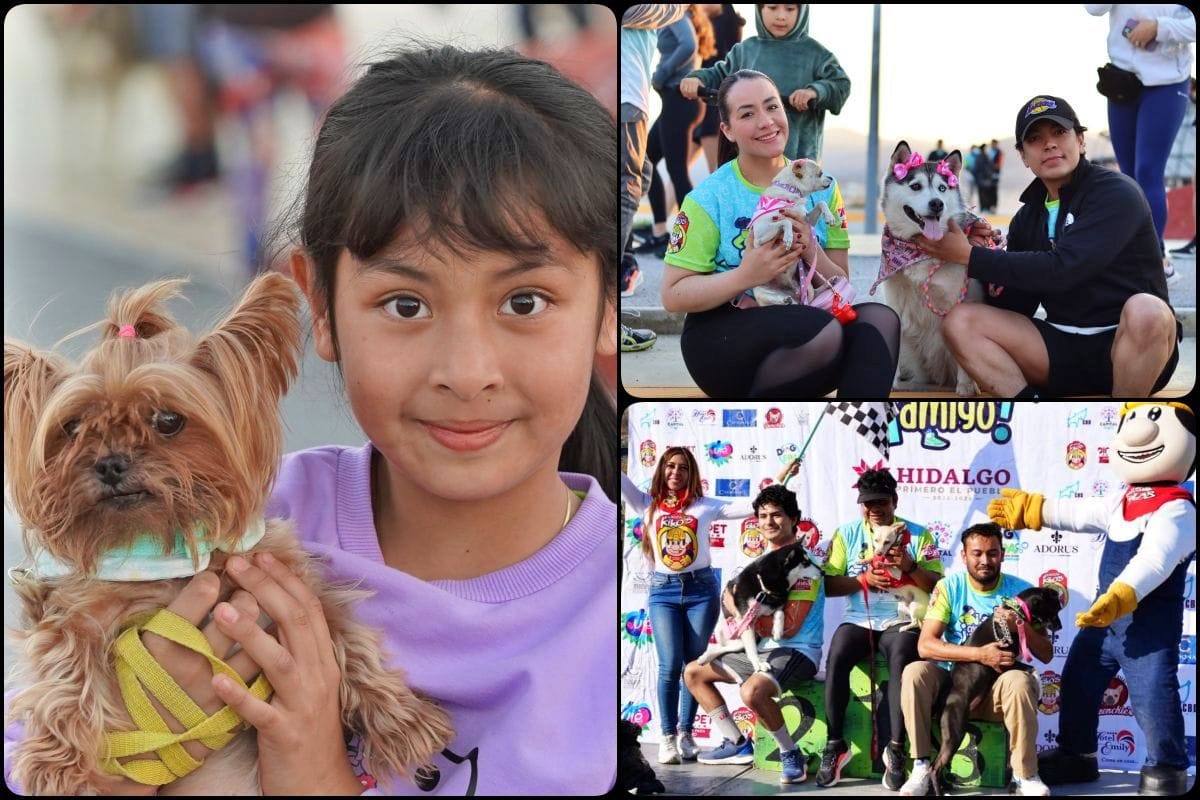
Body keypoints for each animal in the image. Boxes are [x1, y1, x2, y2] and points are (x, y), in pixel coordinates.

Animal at [3, 273, 453, 796]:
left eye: (168, 420)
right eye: (72, 427)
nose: (110, 463)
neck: (167, 544)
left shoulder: (289, 579)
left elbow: (345, 633)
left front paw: (401, 720)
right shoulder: (75, 607)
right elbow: (63, 670)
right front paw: (54, 763)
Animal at [748, 158, 835, 307]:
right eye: (820, 174)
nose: (831, 177)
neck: (790, 190)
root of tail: (794, 293)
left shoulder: (806, 221)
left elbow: (821, 203)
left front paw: (830, 217)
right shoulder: (760, 236)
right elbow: (785, 221)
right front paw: (788, 237)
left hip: (806, 283)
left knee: (813, 295)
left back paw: (829, 283)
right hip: (761, 291)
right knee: (777, 301)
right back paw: (785, 300)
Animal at [873, 143, 984, 398]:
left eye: (942, 188)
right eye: (916, 186)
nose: (937, 203)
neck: (918, 249)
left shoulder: (960, 302)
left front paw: (965, 386)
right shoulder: (897, 304)